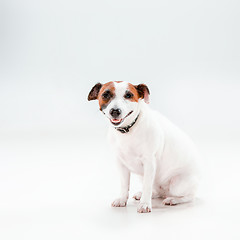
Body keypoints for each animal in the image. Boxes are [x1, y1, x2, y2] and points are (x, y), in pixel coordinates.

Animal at [87, 81, 199, 213]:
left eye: (128, 95)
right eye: (105, 95)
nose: (115, 111)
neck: (128, 130)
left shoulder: (149, 163)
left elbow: (147, 186)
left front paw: (145, 204)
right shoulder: (121, 164)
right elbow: (124, 185)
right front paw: (122, 199)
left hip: (178, 184)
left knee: (189, 196)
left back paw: (173, 199)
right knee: (157, 191)